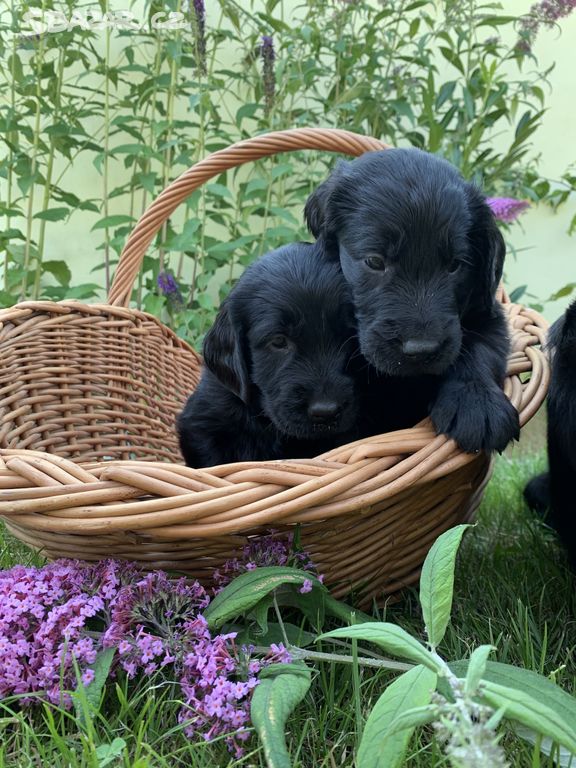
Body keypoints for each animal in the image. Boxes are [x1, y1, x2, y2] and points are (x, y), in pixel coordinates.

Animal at [304, 147, 520, 452]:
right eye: (374, 261)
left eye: (455, 265)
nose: (422, 350)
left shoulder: (488, 313)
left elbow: (480, 347)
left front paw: (478, 404)